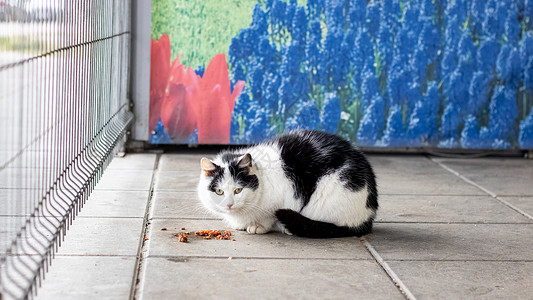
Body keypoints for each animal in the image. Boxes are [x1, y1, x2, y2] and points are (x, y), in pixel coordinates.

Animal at [196, 130, 378, 238]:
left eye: (238, 190)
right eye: (219, 192)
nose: (229, 204)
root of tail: (368, 216)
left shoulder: (280, 199)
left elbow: (267, 217)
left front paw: (258, 226)